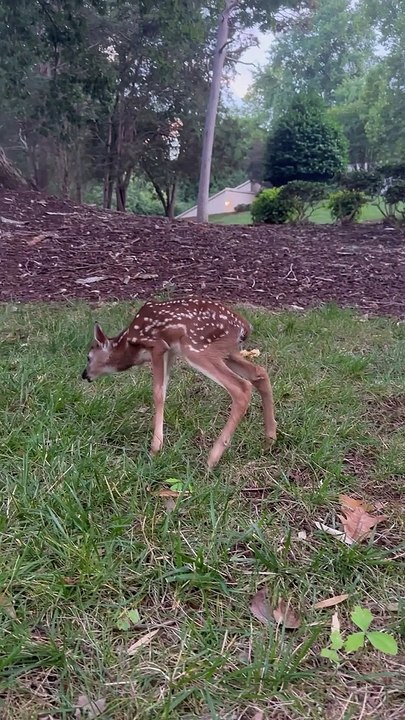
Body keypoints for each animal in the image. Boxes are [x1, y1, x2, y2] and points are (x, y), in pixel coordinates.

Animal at [81, 298, 277, 468]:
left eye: (89, 357)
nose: (84, 375)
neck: (129, 345)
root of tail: (244, 327)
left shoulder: (157, 345)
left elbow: (158, 392)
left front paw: (155, 448)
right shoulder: (171, 352)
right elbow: (164, 390)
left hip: (197, 348)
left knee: (241, 387)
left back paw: (211, 460)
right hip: (226, 352)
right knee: (259, 373)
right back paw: (269, 441)